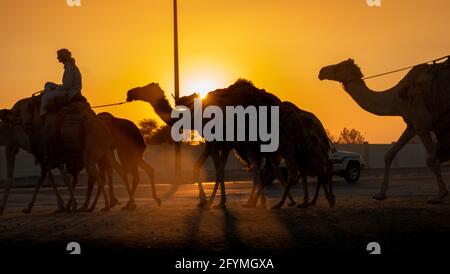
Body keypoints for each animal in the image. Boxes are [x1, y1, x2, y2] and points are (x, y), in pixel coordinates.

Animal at [320, 57, 450, 203]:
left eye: (338, 67)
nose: (321, 72)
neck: (397, 99)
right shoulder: (412, 126)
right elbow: (388, 155)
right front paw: (380, 194)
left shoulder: (421, 123)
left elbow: (432, 159)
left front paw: (440, 194)